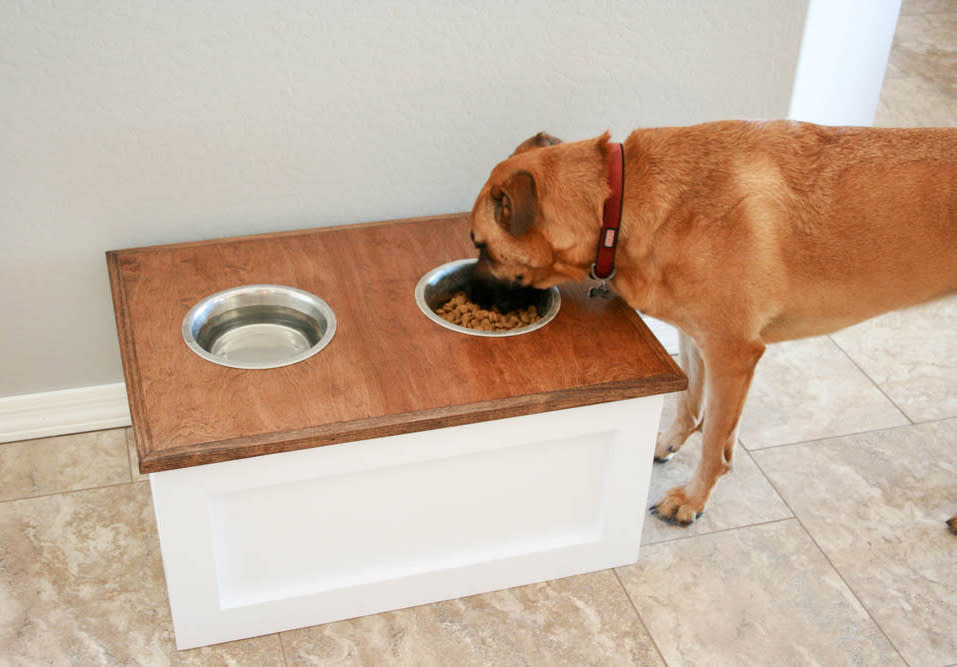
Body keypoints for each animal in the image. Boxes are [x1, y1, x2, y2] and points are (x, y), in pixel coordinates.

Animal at [470, 120, 956, 528]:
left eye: (480, 246)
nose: (470, 299)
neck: (620, 204)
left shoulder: (732, 353)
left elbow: (713, 441)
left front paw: (691, 499)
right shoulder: (698, 336)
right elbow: (693, 405)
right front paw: (668, 443)